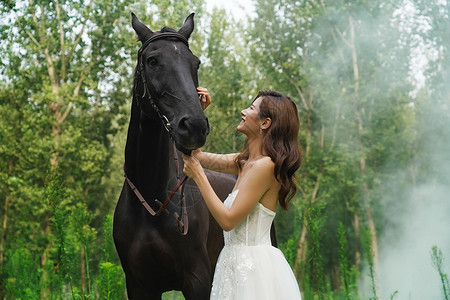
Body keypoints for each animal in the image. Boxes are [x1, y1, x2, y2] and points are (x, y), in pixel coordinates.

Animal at [112, 12, 236, 298]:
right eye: (153, 61)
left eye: (196, 63)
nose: (194, 127)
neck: (151, 203)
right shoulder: (138, 285)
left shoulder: (196, 280)